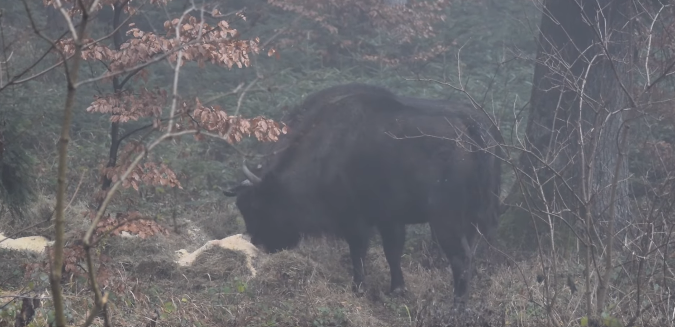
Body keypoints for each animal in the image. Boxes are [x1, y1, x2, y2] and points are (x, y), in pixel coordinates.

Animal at [226, 83, 502, 304]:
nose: (260, 244)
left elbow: (358, 252)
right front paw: (397, 289)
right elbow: (392, 252)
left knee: (460, 258)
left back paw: (457, 306)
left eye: (255, 206)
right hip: (473, 219)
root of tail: (472, 125)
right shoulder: (390, 219)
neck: (325, 148)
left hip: (446, 220)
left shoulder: (355, 219)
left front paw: (358, 288)